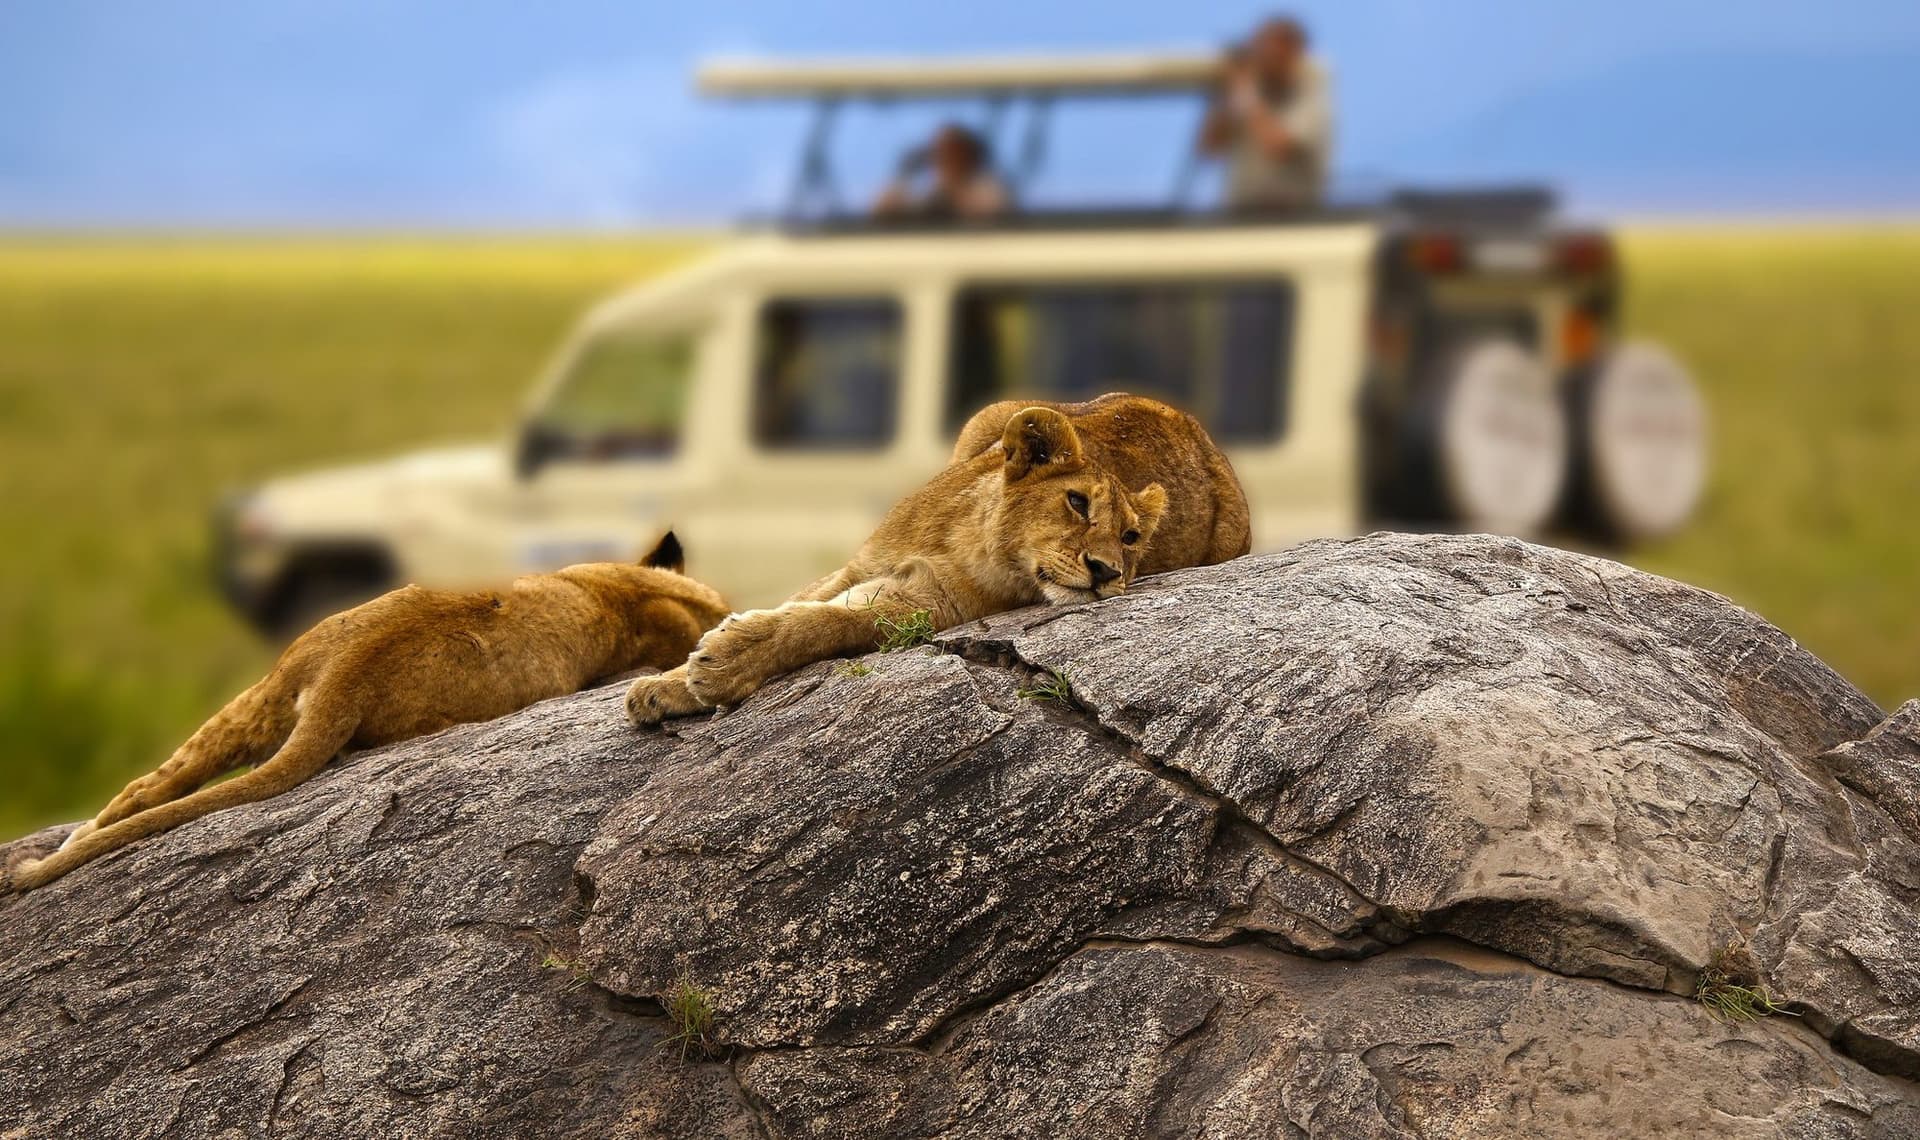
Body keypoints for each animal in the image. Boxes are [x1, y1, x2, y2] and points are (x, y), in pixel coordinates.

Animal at [625, 394, 1249, 726]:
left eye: (1131, 537)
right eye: (1076, 502)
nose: (1107, 573)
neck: (969, 538)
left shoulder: (929, 607)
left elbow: (824, 623)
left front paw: (721, 665)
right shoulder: (861, 565)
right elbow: (800, 603)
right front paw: (663, 686)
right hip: (994, 415)